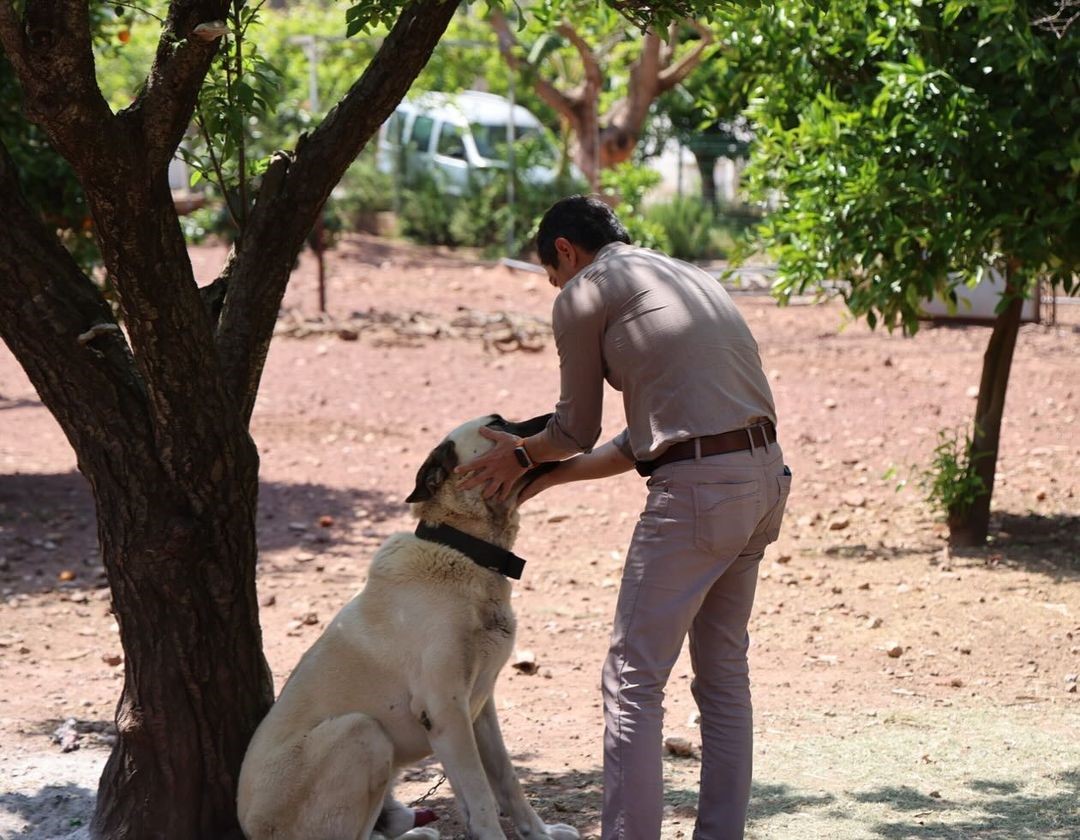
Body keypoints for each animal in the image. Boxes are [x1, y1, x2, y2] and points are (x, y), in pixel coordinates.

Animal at [235, 414, 574, 837]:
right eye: (498, 423)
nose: (553, 420)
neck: (461, 550)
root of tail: (248, 826)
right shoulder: (445, 710)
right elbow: (480, 795)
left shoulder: (479, 709)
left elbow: (506, 780)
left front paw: (541, 833)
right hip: (363, 733)